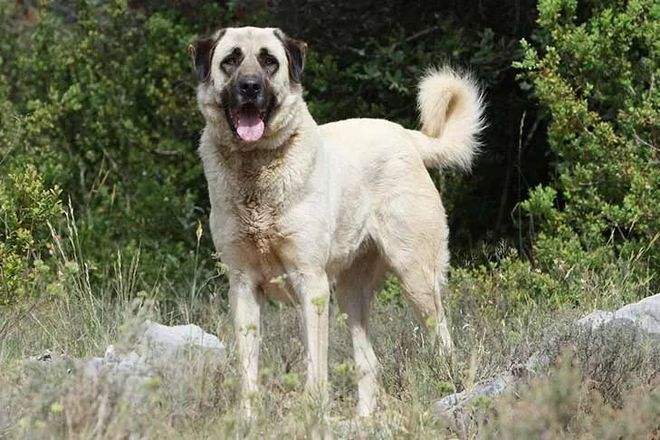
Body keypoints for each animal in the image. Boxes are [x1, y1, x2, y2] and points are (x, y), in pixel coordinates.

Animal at [188, 25, 482, 418]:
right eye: (230, 60)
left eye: (269, 61)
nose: (249, 86)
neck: (256, 169)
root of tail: (406, 136)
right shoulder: (243, 286)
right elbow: (248, 371)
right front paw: (248, 420)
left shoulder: (310, 282)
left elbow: (316, 367)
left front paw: (313, 416)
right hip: (349, 294)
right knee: (369, 362)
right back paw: (364, 420)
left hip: (416, 278)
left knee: (443, 341)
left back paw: (452, 392)